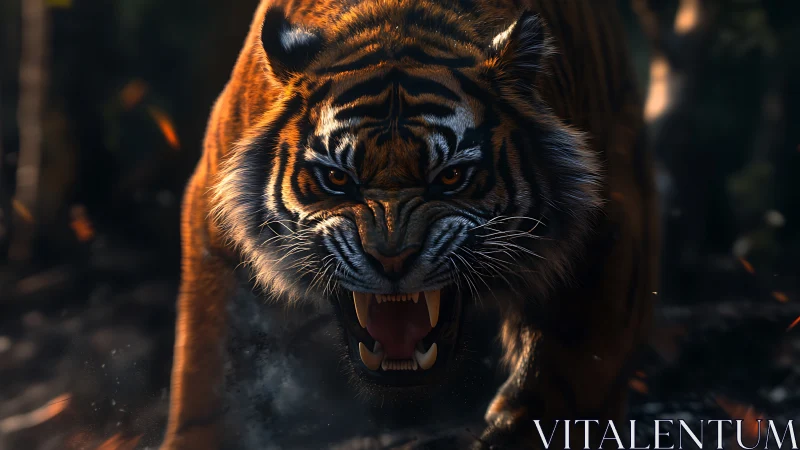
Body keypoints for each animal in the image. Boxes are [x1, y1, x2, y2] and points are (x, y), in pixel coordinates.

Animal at [161, 0, 659, 448]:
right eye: (338, 179)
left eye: (451, 177)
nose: (391, 258)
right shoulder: (216, 234)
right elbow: (212, 378)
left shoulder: (608, 215)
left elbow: (575, 363)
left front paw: (527, 424)